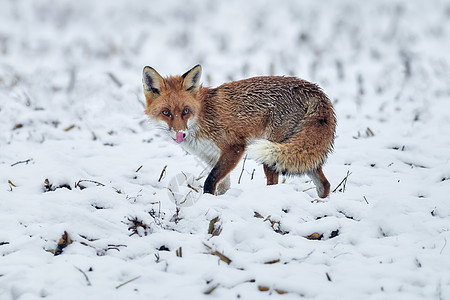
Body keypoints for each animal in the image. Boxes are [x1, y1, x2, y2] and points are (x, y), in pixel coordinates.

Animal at [142, 64, 336, 198]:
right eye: (166, 113)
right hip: (298, 154)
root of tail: (311, 88)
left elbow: (210, 181)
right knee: (324, 184)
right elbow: (222, 185)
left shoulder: (234, 147)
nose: (181, 134)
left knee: (275, 182)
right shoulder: (210, 156)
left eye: (185, 111)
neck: (202, 116)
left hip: (273, 155)